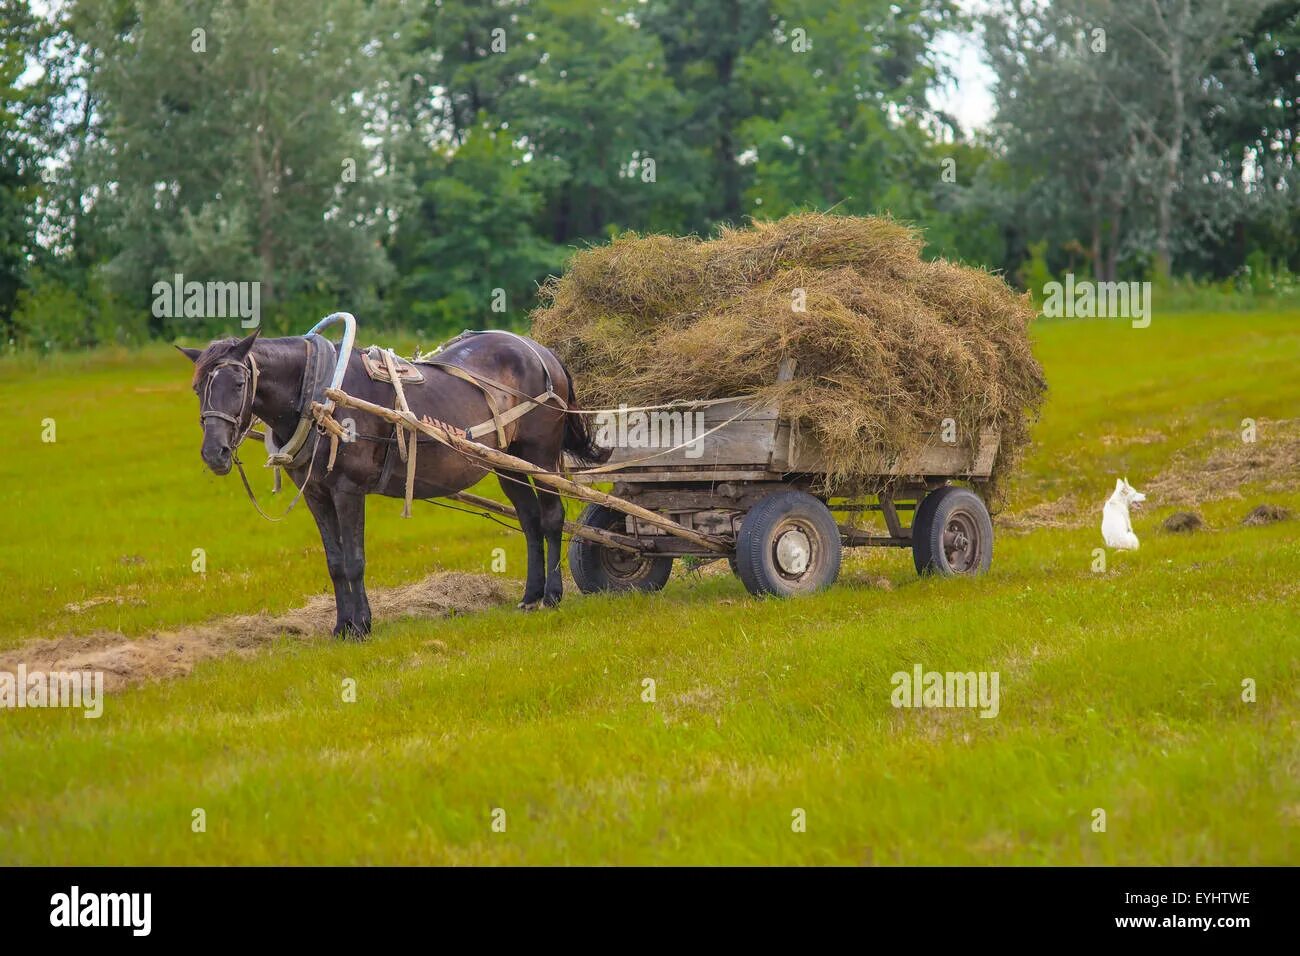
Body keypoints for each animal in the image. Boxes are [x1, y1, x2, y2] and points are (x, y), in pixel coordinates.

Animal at [178, 327, 608, 634]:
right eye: (198, 388)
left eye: (238, 384)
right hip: (508, 463)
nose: (214, 452)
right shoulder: (317, 494)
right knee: (530, 522)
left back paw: (552, 595)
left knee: (551, 517)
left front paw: (363, 625)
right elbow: (335, 563)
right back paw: (530, 596)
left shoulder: (348, 490)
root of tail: (542, 351)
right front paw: (342, 626)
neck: (319, 393)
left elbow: (354, 560)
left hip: (540, 455)